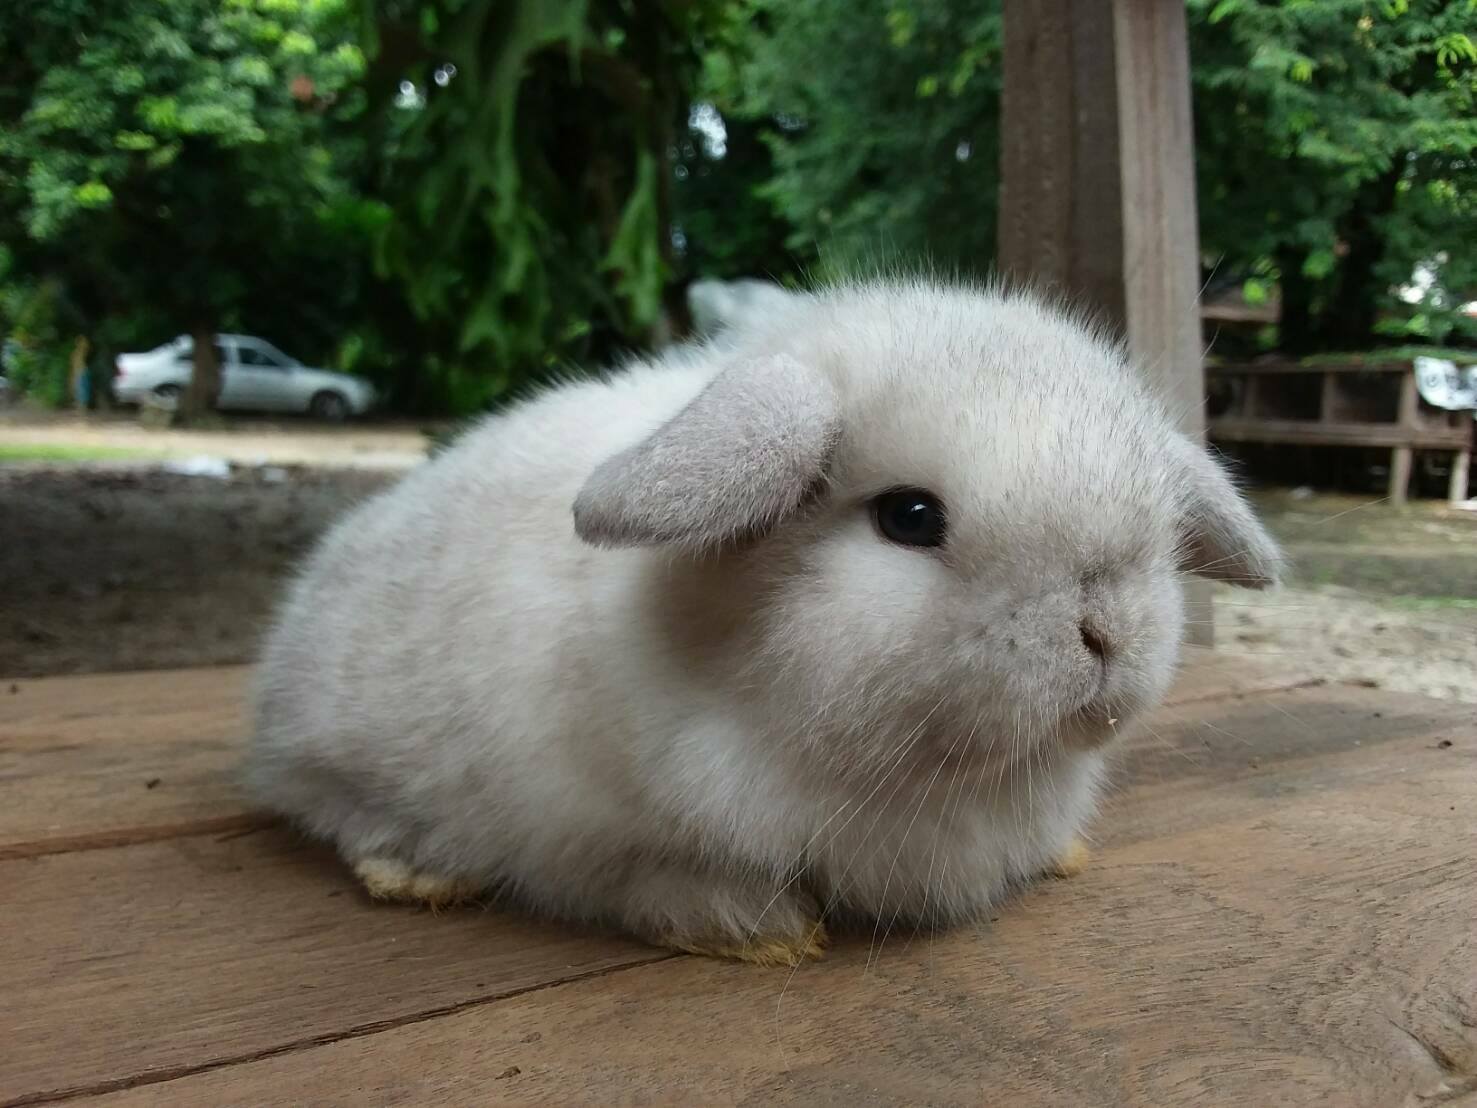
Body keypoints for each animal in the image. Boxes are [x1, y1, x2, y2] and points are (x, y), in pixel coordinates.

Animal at [247, 277, 1281, 967]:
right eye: (910, 517)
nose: (1106, 630)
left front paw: (1060, 854)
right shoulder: (587, 836)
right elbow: (642, 881)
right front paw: (760, 931)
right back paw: (417, 872)